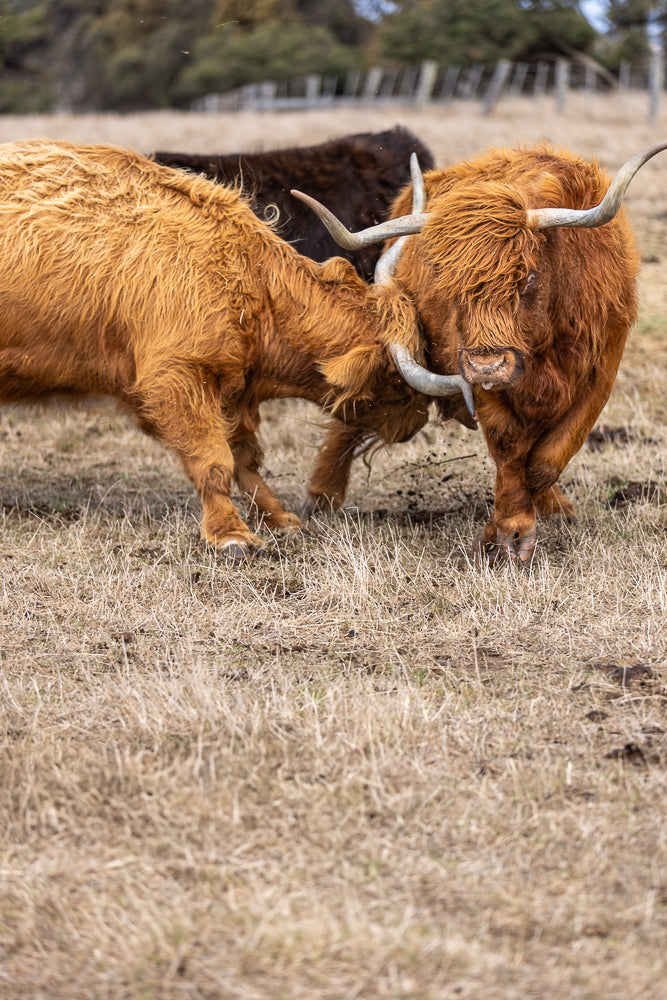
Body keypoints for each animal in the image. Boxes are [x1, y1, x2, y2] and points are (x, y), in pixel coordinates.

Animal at [294, 141, 667, 562]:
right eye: (447, 285)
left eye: (529, 277)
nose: (488, 365)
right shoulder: (468, 375)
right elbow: (510, 448)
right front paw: (509, 530)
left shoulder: (601, 371)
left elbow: (546, 459)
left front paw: (527, 519)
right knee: (354, 412)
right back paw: (320, 497)